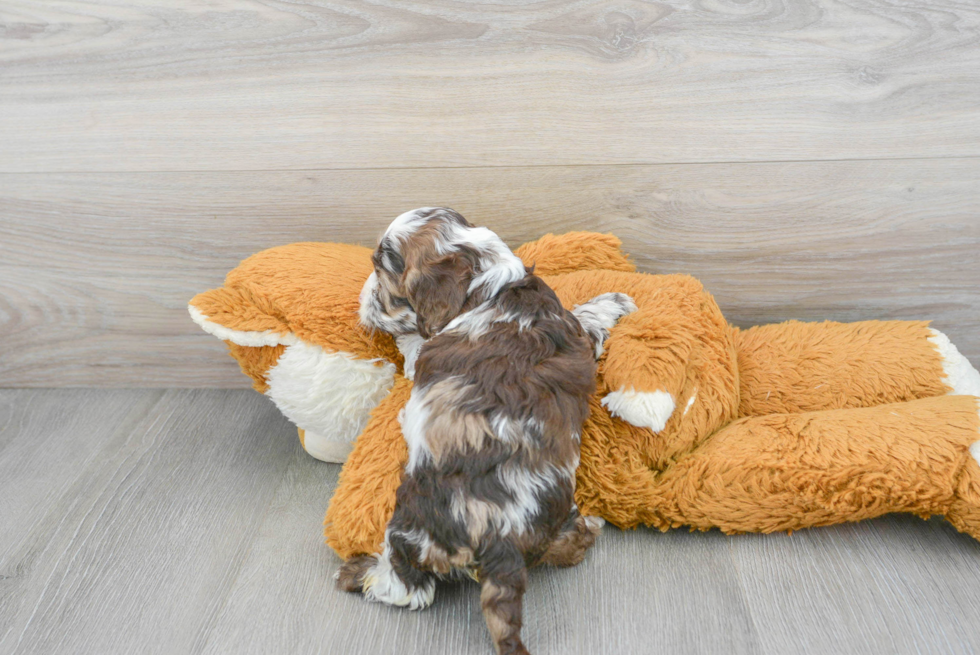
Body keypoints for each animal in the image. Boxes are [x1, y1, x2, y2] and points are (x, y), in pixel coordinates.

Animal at [342, 209, 636, 655]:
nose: (361, 300)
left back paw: (360, 574)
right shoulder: (573, 331)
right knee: (570, 547)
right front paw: (615, 302)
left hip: (410, 528)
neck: (493, 286)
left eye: (381, 270)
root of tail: (502, 538)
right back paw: (591, 525)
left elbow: (414, 351)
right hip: (550, 522)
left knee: (410, 589)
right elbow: (587, 319)